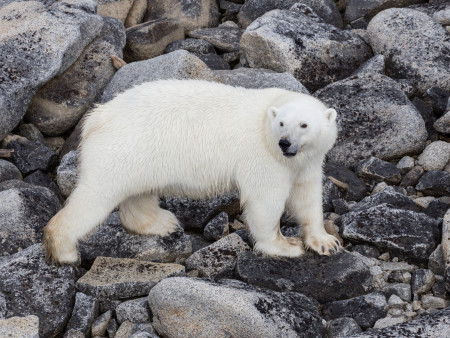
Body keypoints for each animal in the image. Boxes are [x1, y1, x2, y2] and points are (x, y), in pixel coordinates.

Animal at [44, 79, 342, 264]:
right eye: (281, 123)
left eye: (304, 124)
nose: (285, 143)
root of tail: (96, 116)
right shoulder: (264, 157)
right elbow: (265, 201)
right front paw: (285, 246)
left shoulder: (306, 163)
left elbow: (307, 197)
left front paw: (326, 242)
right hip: (120, 150)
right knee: (96, 196)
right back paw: (64, 250)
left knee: (137, 193)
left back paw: (163, 223)